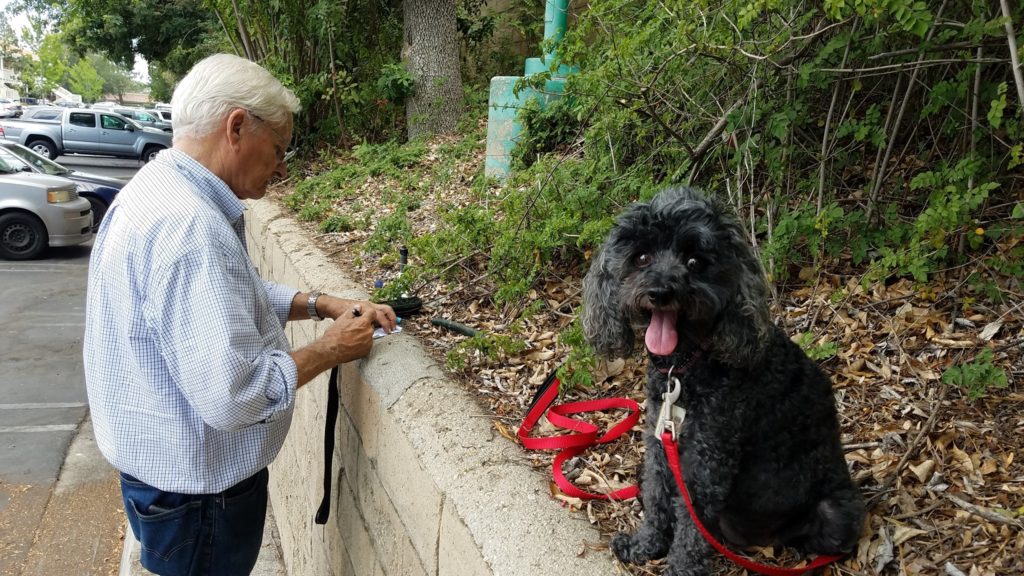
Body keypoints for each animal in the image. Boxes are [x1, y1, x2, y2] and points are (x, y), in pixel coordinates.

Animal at [585, 186, 864, 569]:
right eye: (641, 257)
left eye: (694, 262)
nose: (660, 292)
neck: (687, 367)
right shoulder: (660, 443)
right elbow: (657, 498)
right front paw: (645, 546)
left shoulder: (708, 457)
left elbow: (692, 525)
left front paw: (680, 568)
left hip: (835, 512)